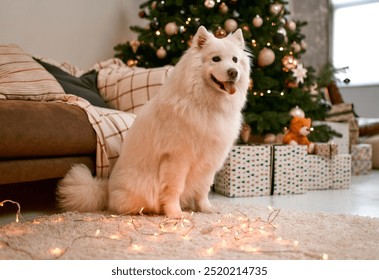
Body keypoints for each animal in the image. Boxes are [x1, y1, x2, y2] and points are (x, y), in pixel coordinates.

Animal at [57, 25, 252, 219]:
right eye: (216, 59)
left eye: (235, 60)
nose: (233, 72)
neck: (206, 105)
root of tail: (107, 189)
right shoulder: (177, 158)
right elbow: (175, 188)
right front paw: (175, 213)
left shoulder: (209, 160)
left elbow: (203, 188)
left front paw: (206, 209)